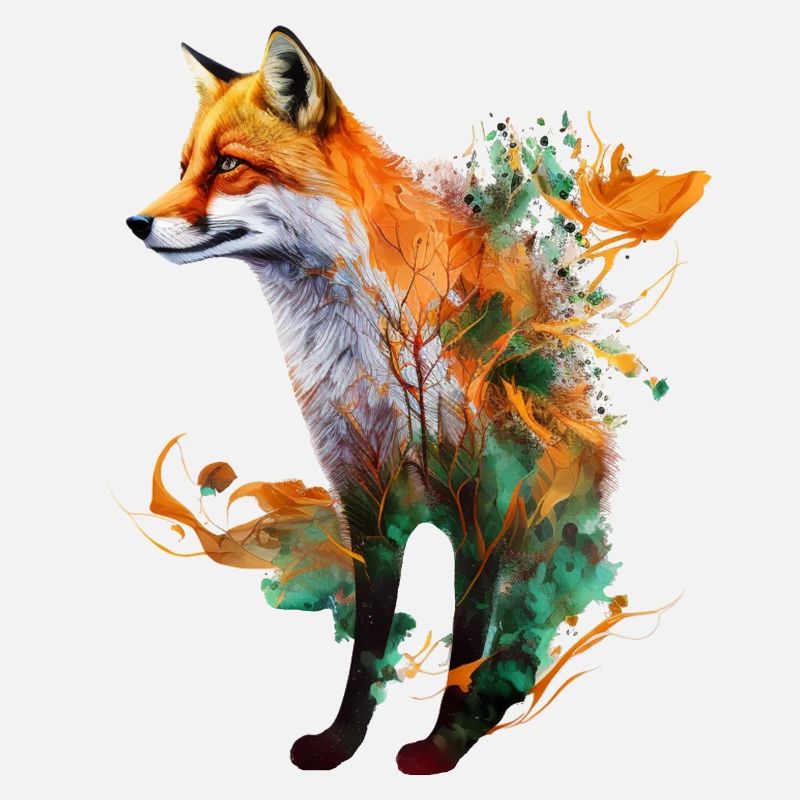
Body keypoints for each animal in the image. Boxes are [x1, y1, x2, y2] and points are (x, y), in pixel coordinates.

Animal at [127, 26, 708, 774]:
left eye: (228, 165)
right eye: (184, 164)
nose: (135, 222)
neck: (371, 358)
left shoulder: (486, 500)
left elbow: (464, 644)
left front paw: (442, 747)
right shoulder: (366, 501)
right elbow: (367, 649)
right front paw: (341, 744)